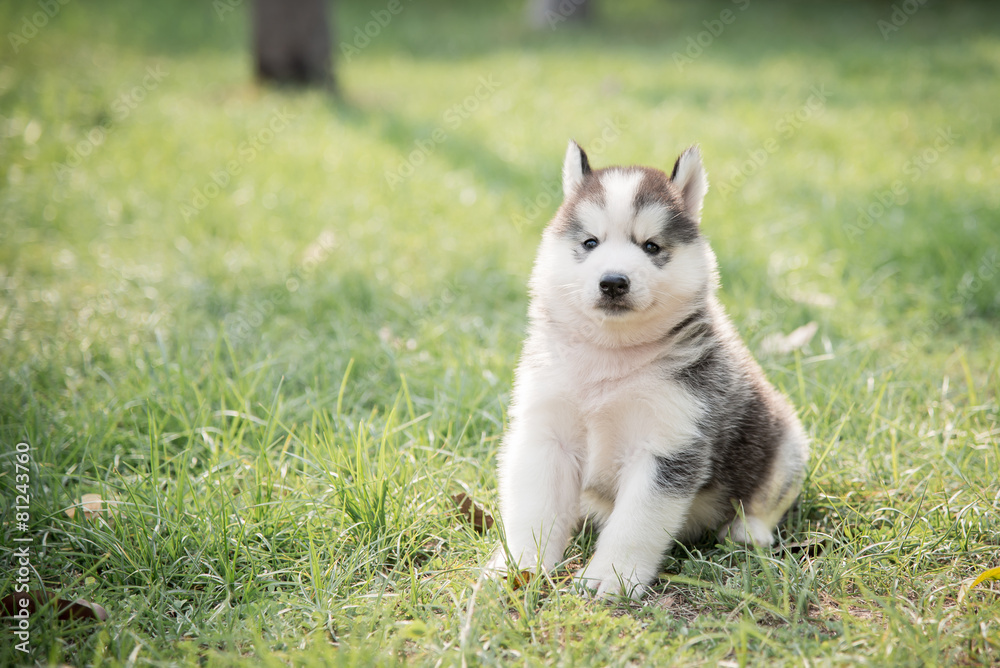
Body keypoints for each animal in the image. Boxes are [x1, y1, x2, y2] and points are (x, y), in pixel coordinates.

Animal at [488, 141, 808, 600]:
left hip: (786, 441)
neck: (610, 356)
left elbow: (635, 523)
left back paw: (749, 530)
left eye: (651, 247)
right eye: (590, 242)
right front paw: (520, 566)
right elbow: (535, 511)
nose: (613, 281)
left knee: (770, 495)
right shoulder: (546, 435)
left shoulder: (669, 444)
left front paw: (610, 576)